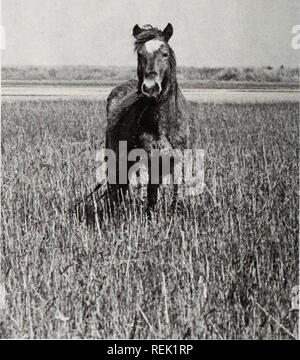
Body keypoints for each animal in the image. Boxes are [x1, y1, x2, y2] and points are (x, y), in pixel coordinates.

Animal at [106, 23, 193, 215]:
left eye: (165, 53)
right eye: (140, 54)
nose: (151, 87)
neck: (163, 124)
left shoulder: (177, 161)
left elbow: (176, 192)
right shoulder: (149, 161)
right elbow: (151, 194)